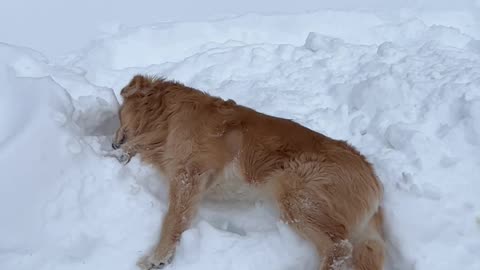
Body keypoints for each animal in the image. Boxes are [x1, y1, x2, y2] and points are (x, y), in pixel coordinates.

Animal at [112, 75, 386, 270]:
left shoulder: (189, 174)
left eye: (119, 115)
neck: (168, 117)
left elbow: (173, 220)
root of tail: (372, 176)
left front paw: (157, 257)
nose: (112, 144)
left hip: (299, 199)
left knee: (340, 249)